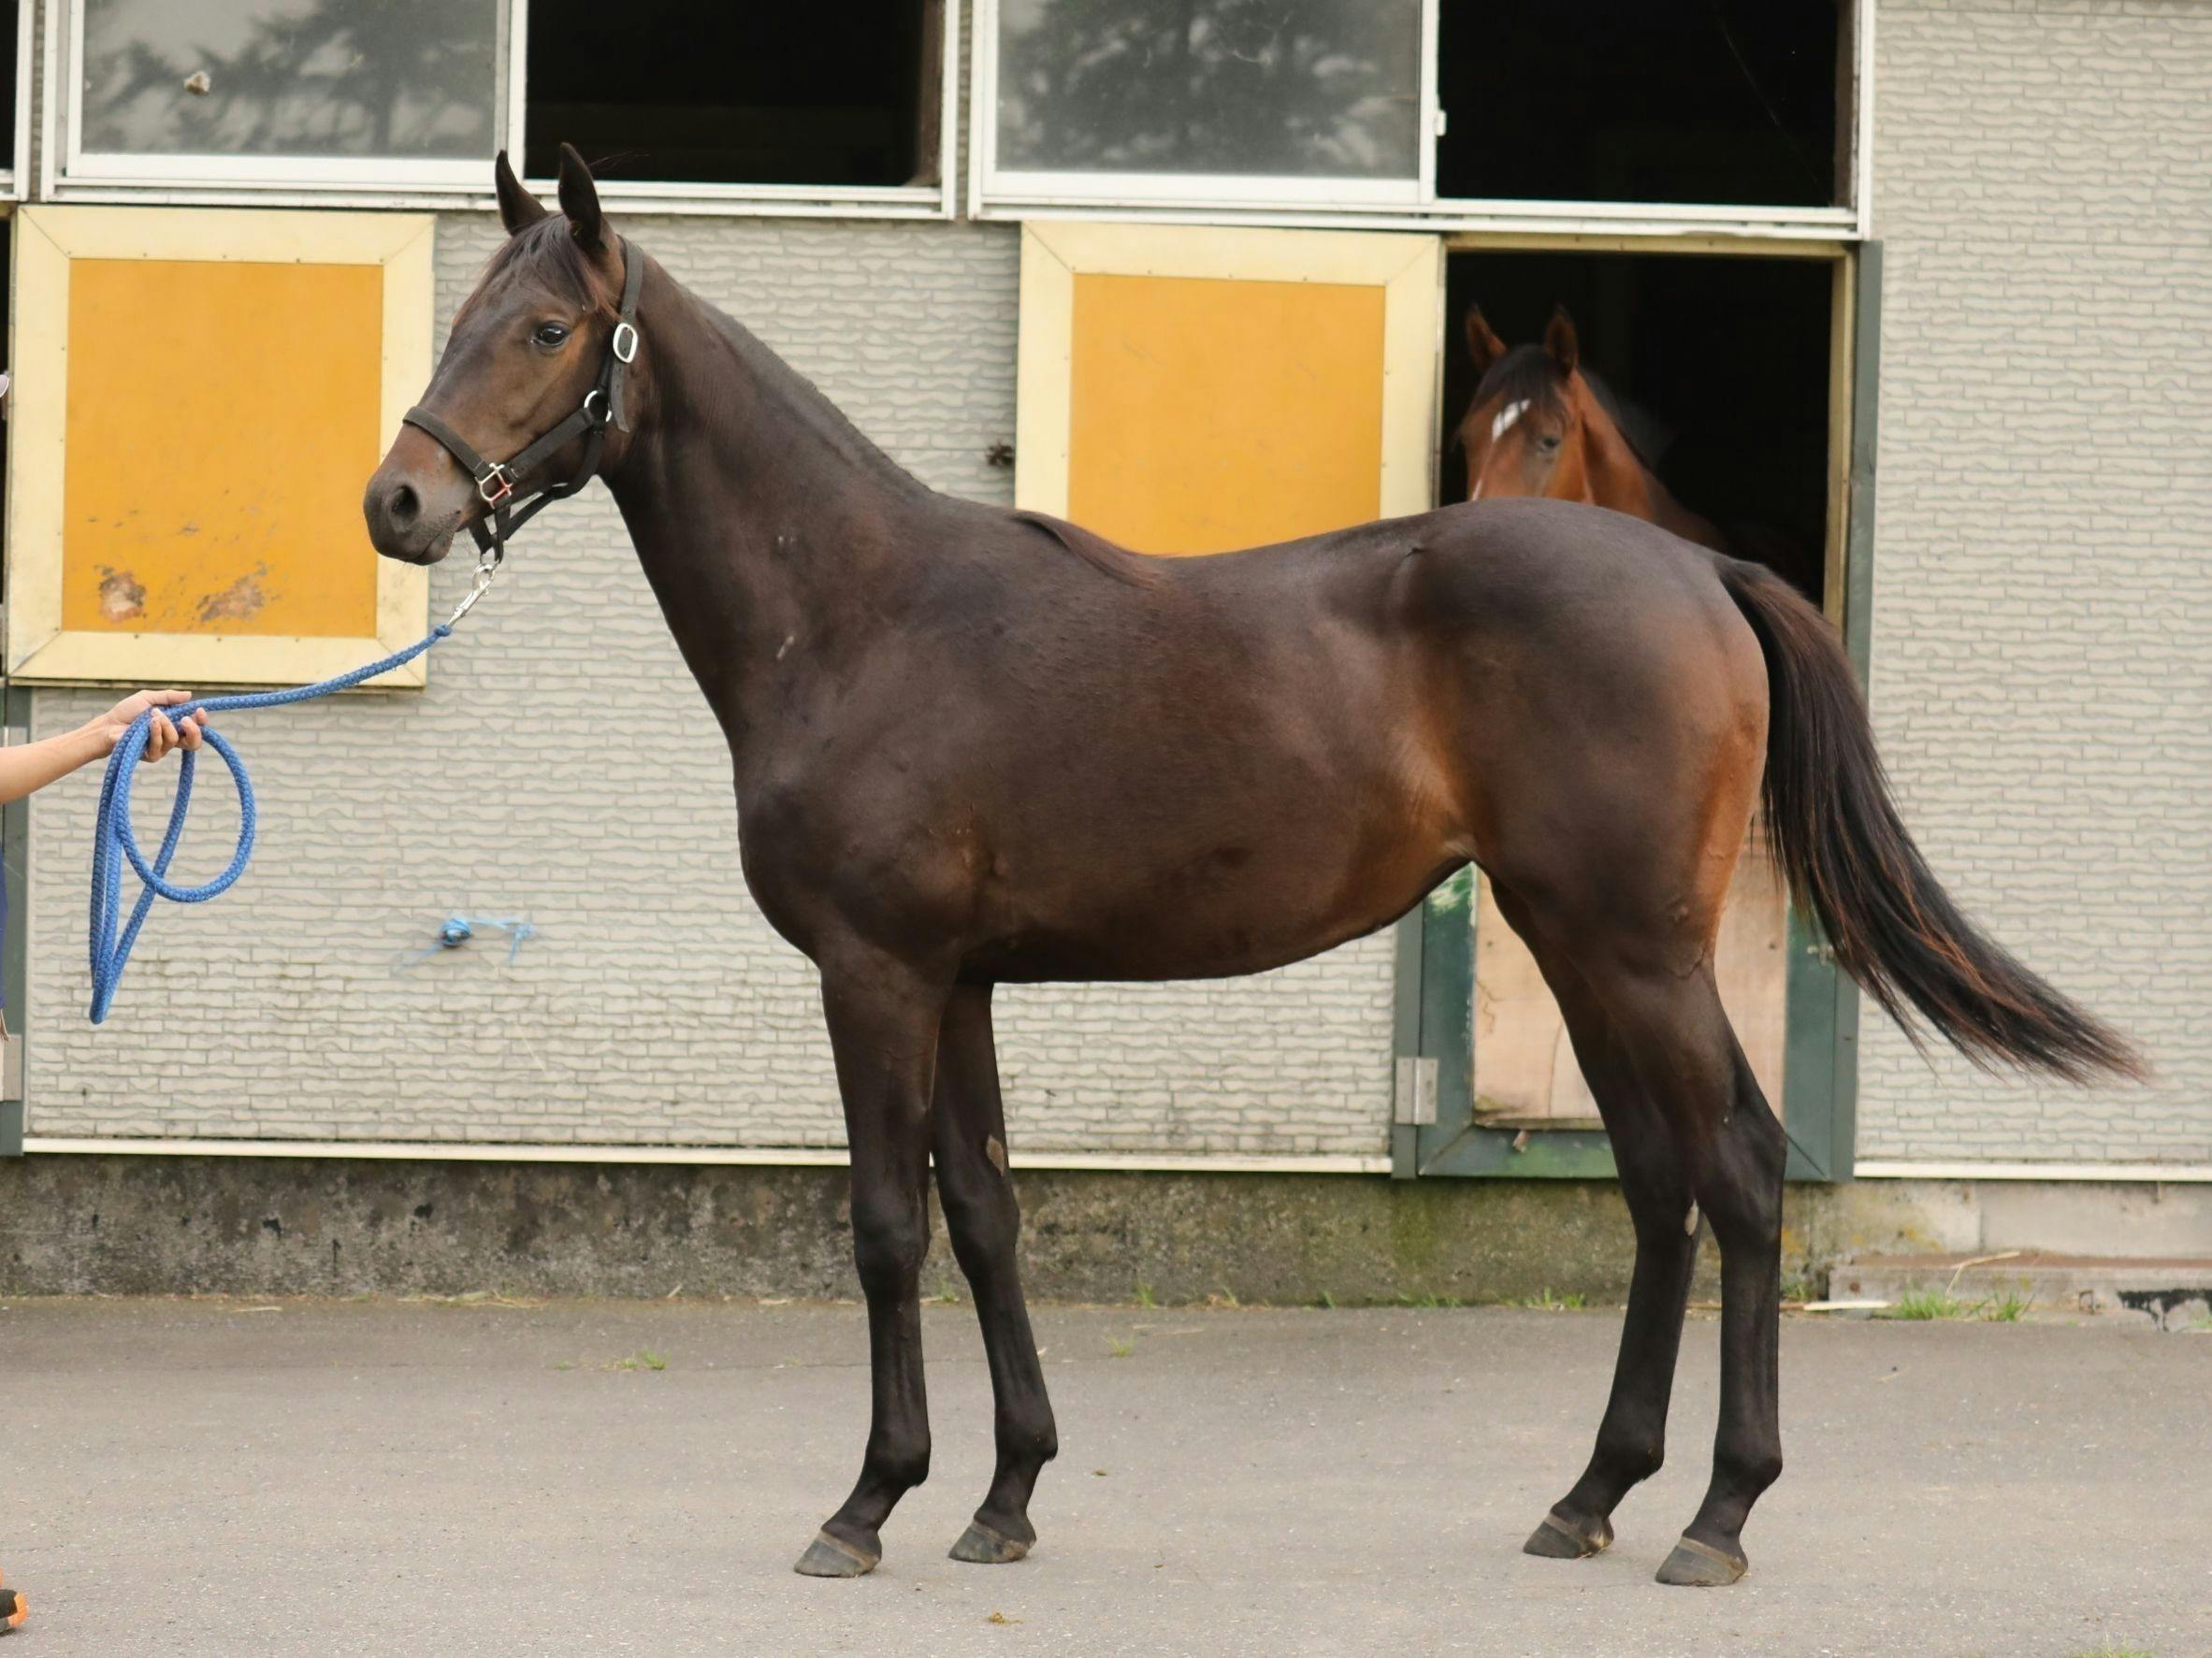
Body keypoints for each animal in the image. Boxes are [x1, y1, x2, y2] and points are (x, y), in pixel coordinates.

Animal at [367, 155, 2141, 1600]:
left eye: (544, 328)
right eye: (463, 314)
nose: (400, 500)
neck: (863, 618)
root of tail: (1701, 571)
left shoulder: (874, 973)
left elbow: (884, 1223)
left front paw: (867, 1504)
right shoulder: (961, 980)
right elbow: (989, 1212)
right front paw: (1005, 1496)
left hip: (1643, 947)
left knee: (1745, 1171)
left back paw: (1714, 1518)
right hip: (1576, 943)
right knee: (1659, 1182)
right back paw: (1590, 1496)